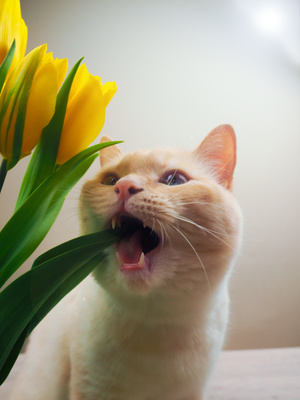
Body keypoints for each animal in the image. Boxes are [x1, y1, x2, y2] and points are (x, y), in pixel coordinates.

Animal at [9, 123, 243, 398]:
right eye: (111, 180)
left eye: (174, 180)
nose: (124, 186)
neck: (155, 320)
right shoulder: (91, 388)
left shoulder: (190, 391)